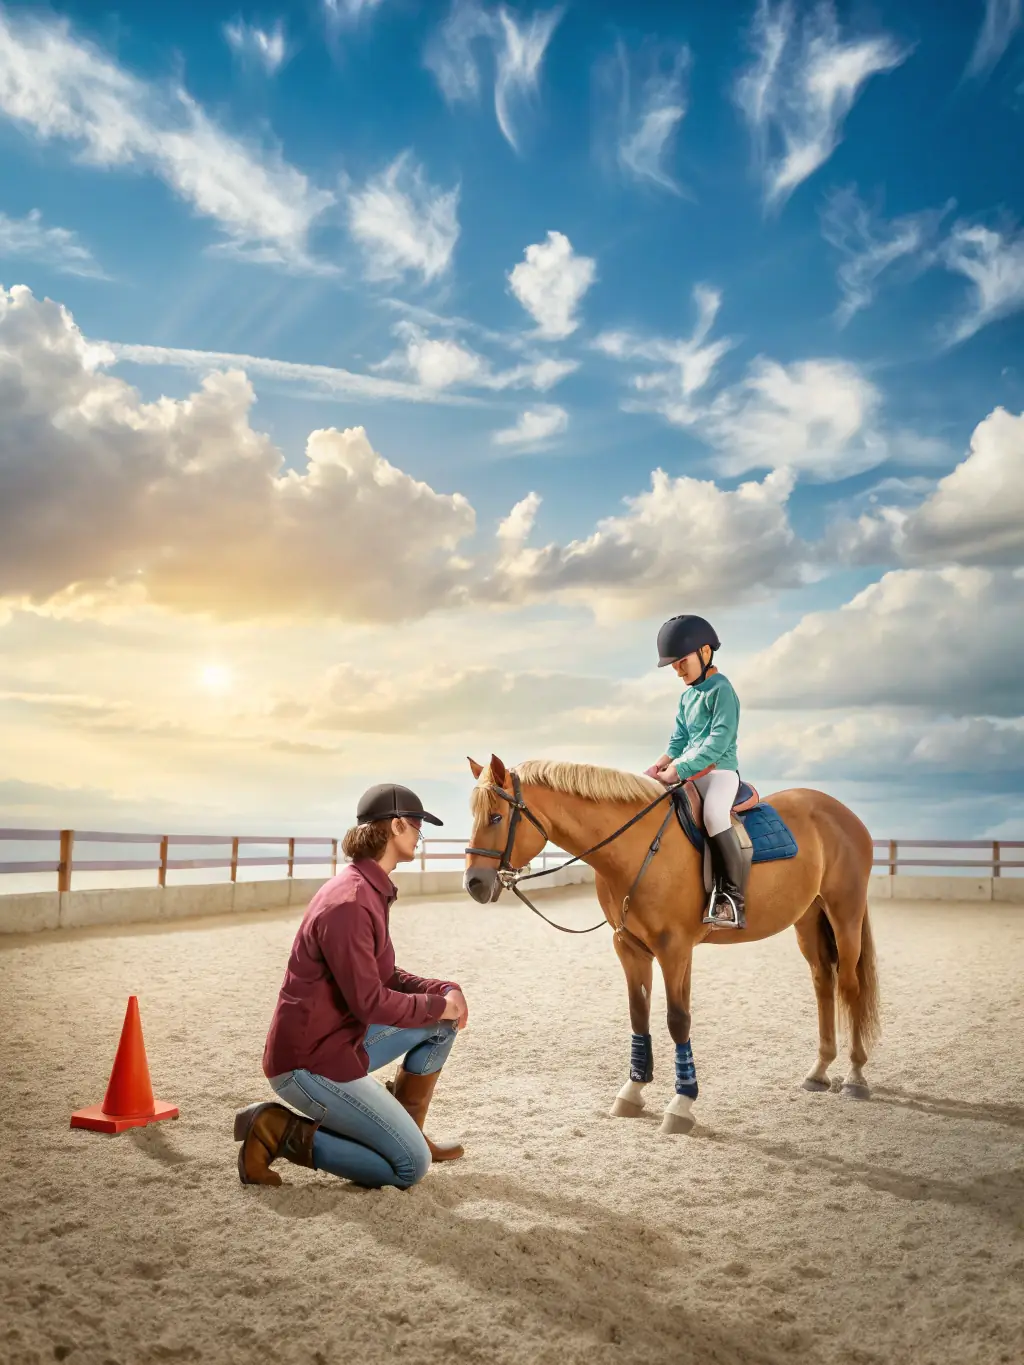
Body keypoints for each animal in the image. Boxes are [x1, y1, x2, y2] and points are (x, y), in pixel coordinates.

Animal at [462, 754, 880, 1135]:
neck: (640, 848)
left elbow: (677, 1020)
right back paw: (819, 1071)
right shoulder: (628, 947)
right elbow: (639, 1014)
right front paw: (632, 1091)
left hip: (844, 913)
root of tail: (842, 812)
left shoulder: (674, 949)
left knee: (849, 986)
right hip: (807, 920)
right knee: (823, 983)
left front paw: (681, 1103)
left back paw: (855, 1076)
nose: (474, 884)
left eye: (497, 817)